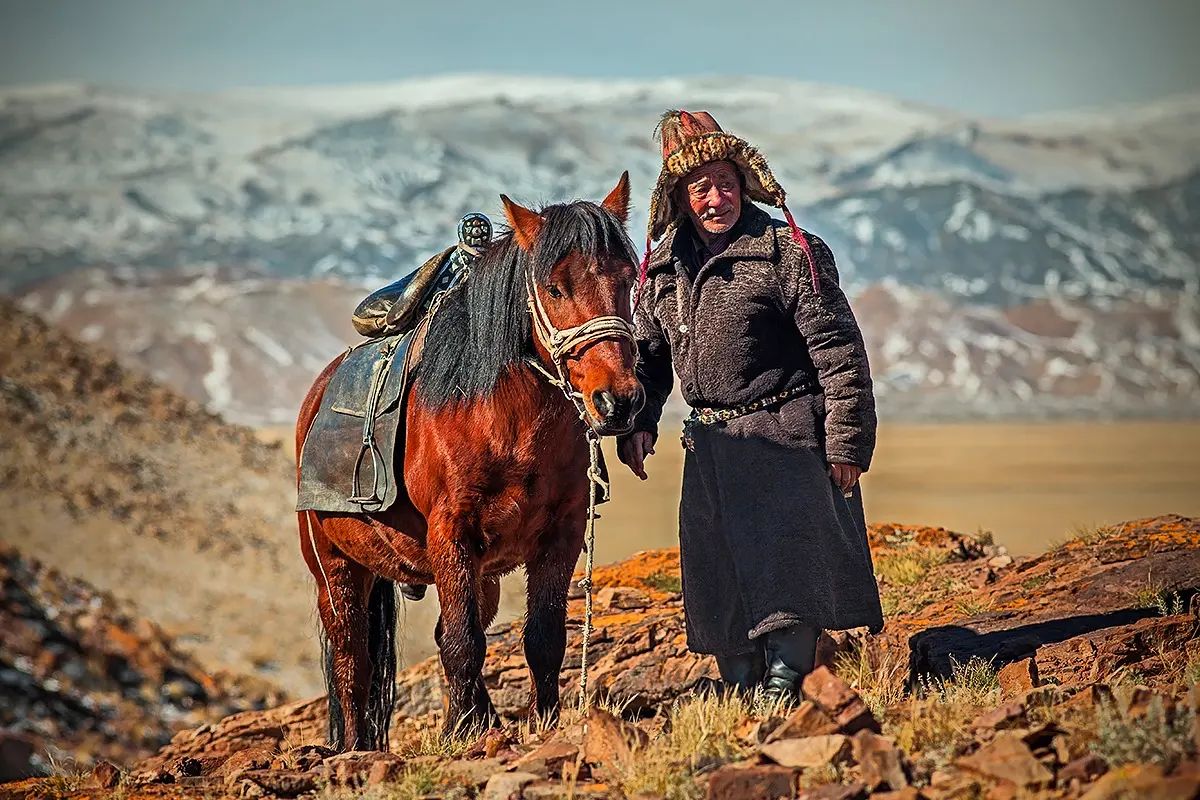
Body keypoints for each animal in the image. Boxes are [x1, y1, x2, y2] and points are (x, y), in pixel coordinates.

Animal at [294, 173, 643, 753]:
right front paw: (460, 736)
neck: (506, 421)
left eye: (627, 280)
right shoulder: (450, 533)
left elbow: (541, 639)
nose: (619, 401)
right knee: (352, 658)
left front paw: (540, 723)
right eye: (554, 288)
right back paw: (358, 746)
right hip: (335, 566)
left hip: (482, 574)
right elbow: (462, 644)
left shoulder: (561, 535)